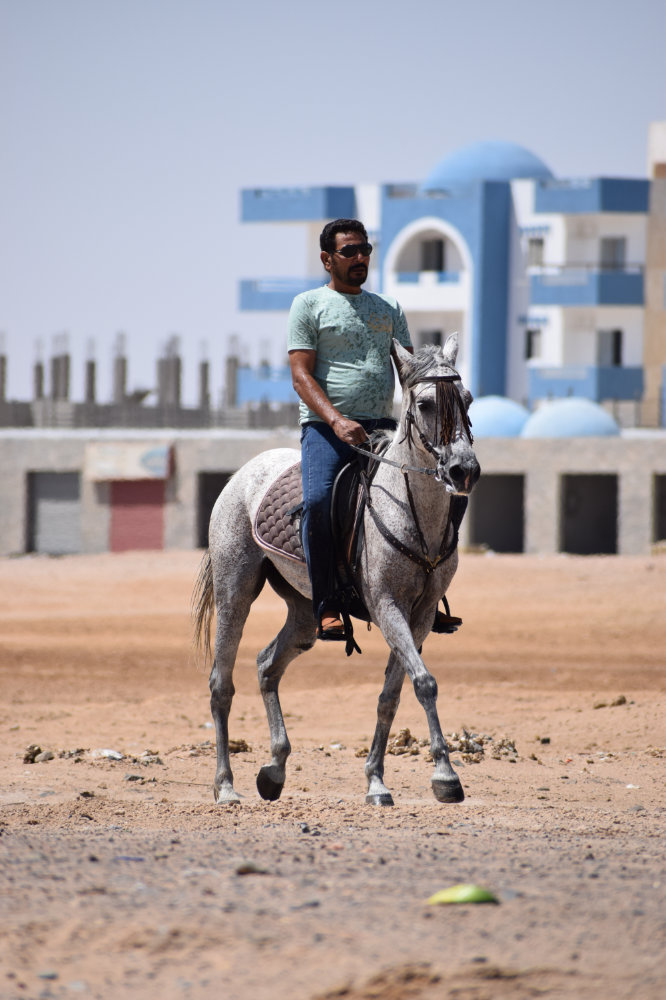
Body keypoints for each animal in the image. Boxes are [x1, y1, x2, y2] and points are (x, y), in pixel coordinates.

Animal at [192, 335, 480, 806]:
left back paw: (273, 770)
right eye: (424, 404)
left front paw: (377, 781)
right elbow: (424, 682)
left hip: (304, 612)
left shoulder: (419, 616)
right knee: (222, 683)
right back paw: (226, 786)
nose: (464, 470)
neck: (411, 511)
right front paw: (445, 776)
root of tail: (243, 474)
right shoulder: (386, 606)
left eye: (467, 399)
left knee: (267, 665)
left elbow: (392, 693)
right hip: (235, 589)